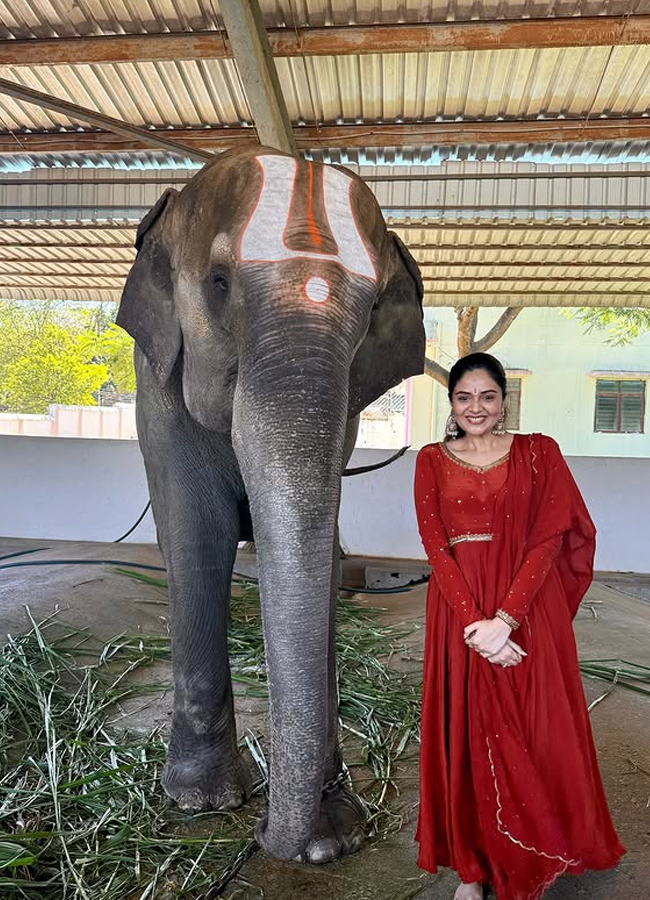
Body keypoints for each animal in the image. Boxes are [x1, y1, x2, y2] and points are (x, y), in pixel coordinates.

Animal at [115, 148, 426, 864]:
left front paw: (331, 839)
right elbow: (198, 533)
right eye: (220, 282)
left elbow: (320, 540)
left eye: (373, 309)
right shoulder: (159, 385)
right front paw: (202, 802)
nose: (267, 839)